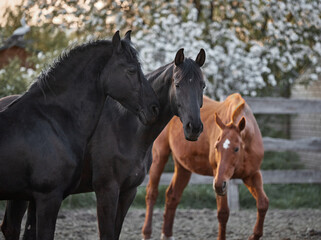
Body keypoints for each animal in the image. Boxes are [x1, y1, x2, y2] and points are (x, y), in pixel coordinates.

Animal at [0, 47, 205, 239]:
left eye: (202, 85)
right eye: (177, 84)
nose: (194, 127)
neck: (126, 128)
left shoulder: (128, 192)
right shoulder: (107, 190)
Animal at [142, 93, 268, 240]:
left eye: (236, 148)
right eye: (216, 146)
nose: (220, 184)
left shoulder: (251, 175)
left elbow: (263, 204)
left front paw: (254, 235)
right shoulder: (218, 176)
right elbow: (223, 213)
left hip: (183, 167)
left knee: (172, 195)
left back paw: (167, 234)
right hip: (159, 156)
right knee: (152, 193)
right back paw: (146, 233)